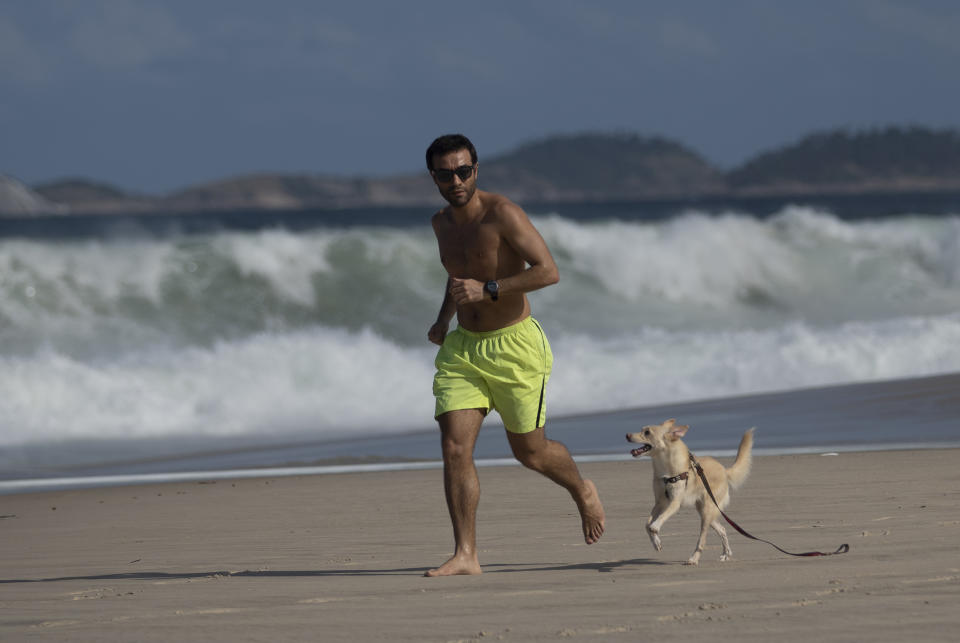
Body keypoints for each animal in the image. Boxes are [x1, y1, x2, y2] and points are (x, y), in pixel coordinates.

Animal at [628, 420, 752, 568]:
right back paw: (726, 553)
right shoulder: (659, 503)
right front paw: (656, 542)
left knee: (702, 540)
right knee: (722, 529)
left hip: (707, 511)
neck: (664, 466)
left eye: (647, 432)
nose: (627, 435)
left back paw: (694, 559)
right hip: (705, 511)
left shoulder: (674, 503)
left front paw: (655, 528)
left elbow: (658, 520)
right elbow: (646, 524)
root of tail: (724, 470)